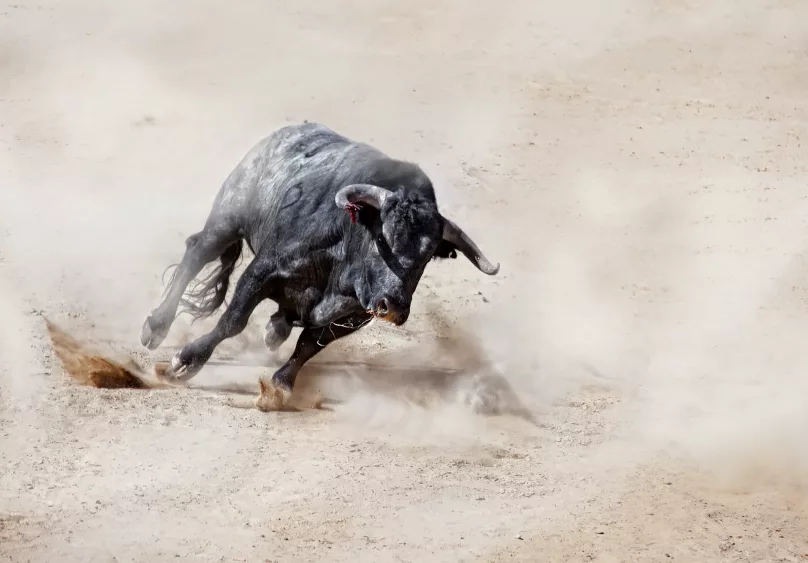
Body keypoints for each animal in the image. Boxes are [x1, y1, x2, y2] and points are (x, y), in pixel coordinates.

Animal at [142, 123, 502, 412]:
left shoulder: (352, 316)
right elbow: (233, 321)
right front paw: (184, 362)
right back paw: (156, 326)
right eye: (382, 238)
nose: (394, 307)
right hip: (227, 219)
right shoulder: (263, 271)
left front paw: (278, 388)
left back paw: (275, 328)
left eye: (427, 255)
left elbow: (308, 346)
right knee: (196, 253)